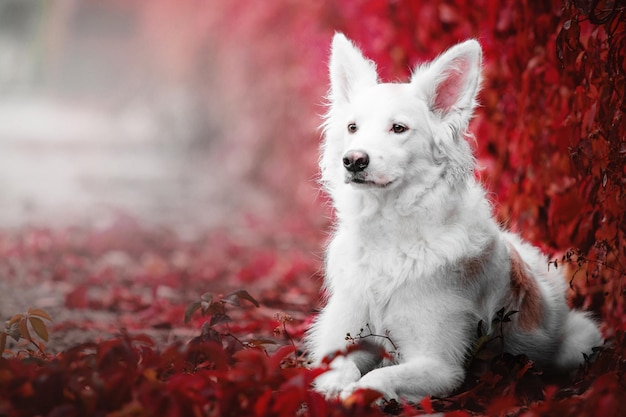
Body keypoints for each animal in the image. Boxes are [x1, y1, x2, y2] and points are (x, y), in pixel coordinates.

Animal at [304, 34, 604, 402]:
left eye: (399, 128)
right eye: (352, 128)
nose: (353, 160)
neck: (391, 232)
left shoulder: (440, 365)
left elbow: (377, 378)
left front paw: (355, 394)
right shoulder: (339, 339)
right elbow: (339, 368)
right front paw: (333, 389)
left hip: (578, 342)